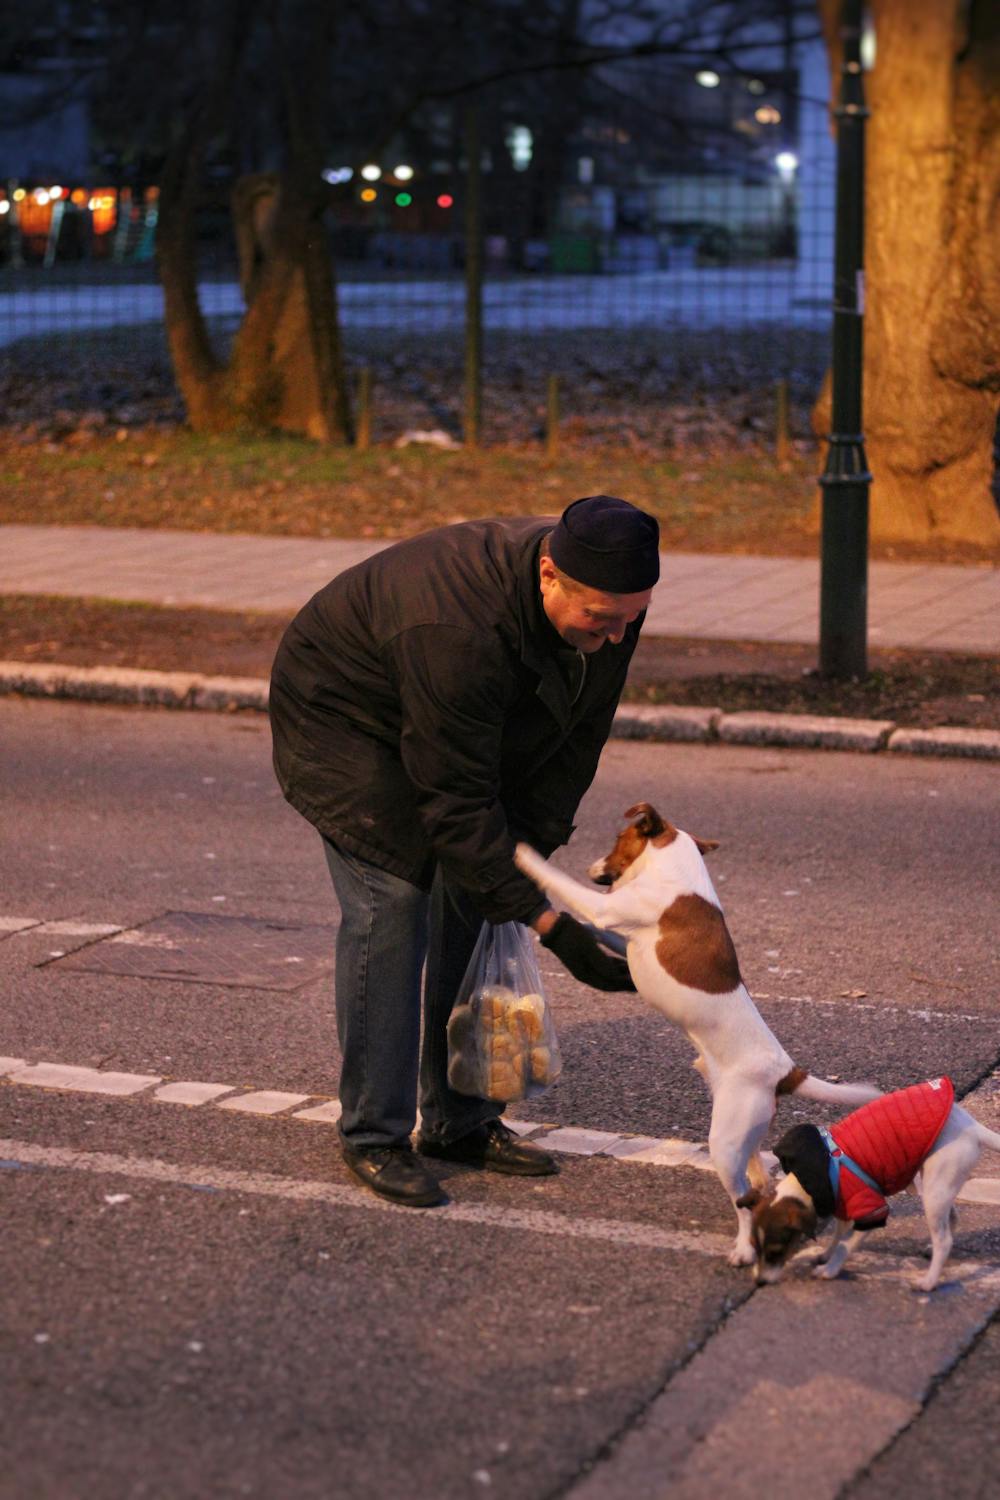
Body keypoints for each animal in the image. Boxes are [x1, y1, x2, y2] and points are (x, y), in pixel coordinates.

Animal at [512, 804, 881, 1260]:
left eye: (618, 838)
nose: (592, 865)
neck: (677, 872)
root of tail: (786, 1071)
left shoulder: (606, 907)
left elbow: (560, 883)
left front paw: (524, 854)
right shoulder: (618, 930)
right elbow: (603, 935)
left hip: (723, 1141)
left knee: (744, 1201)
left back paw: (743, 1249)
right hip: (742, 1131)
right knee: (758, 1180)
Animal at [734, 1080, 1000, 1290]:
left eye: (776, 1251)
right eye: (755, 1247)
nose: (759, 1282)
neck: (807, 1179)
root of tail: (972, 1126)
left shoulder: (871, 1211)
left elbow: (845, 1245)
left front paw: (830, 1270)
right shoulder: (840, 1203)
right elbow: (838, 1235)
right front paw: (826, 1255)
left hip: (937, 1185)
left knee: (944, 1240)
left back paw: (928, 1282)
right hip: (936, 1184)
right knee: (951, 1218)